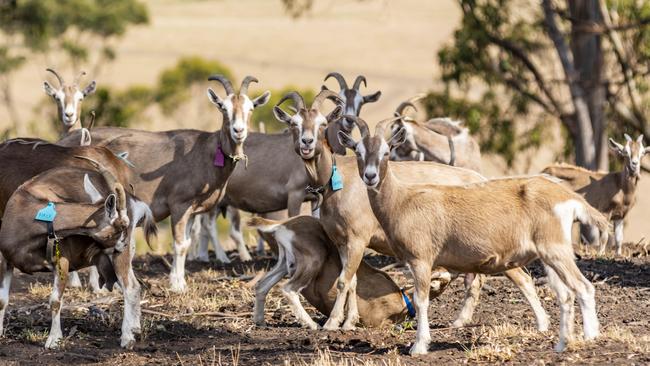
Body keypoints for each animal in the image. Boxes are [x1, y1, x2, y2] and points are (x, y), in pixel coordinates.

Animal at [0, 160, 156, 348]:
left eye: (127, 226)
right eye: (120, 228)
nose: (125, 245)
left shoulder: (61, 260)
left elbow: (55, 301)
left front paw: (54, 339)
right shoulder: (5, 259)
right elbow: (2, 300)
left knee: (130, 287)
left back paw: (127, 338)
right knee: (135, 285)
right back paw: (135, 328)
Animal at [56, 74, 268, 292]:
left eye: (251, 108)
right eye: (223, 108)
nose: (238, 131)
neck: (207, 152)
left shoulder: (192, 209)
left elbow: (187, 242)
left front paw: (179, 281)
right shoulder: (179, 205)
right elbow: (180, 244)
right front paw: (177, 285)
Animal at [336, 116, 612, 354]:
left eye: (386, 152)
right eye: (358, 151)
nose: (370, 176)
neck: (403, 199)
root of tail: (568, 197)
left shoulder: (421, 260)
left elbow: (420, 300)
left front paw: (419, 346)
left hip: (556, 251)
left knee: (583, 287)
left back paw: (590, 337)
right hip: (549, 257)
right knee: (566, 294)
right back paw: (562, 343)